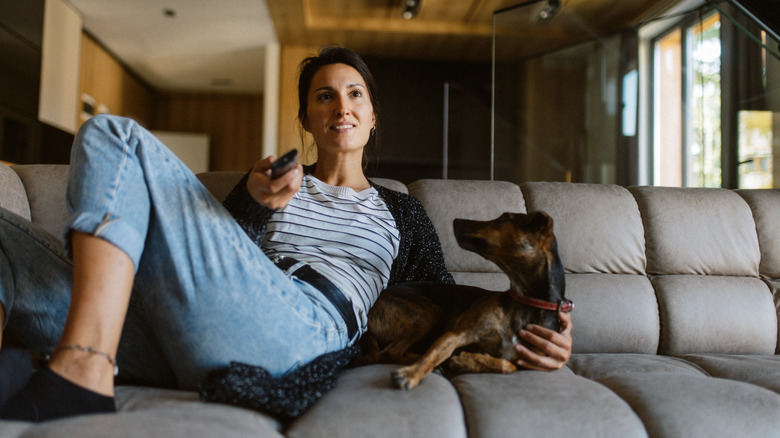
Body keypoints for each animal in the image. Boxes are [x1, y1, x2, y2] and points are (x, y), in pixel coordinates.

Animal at [356, 211, 568, 390]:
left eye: (504, 218)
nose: (456, 220)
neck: (525, 302)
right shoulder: (456, 334)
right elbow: (436, 353)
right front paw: (412, 374)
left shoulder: (528, 360)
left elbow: (509, 366)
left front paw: (466, 361)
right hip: (427, 313)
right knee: (389, 352)